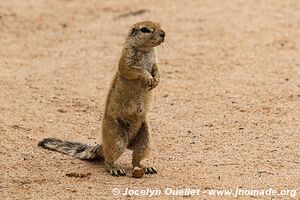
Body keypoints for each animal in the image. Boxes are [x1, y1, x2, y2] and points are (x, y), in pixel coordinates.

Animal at [37, 20, 165, 177]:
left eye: (160, 25)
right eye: (145, 29)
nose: (163, 34)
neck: (146, 50)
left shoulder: (155, 62)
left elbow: (157, 70)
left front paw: (156, 80)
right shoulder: (126, 61)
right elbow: (133, 70)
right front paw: (147, 76)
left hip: (145, 139)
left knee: (136, 159)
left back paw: (145, 167)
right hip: (116, 138)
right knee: (109, 158)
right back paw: (115, 168)